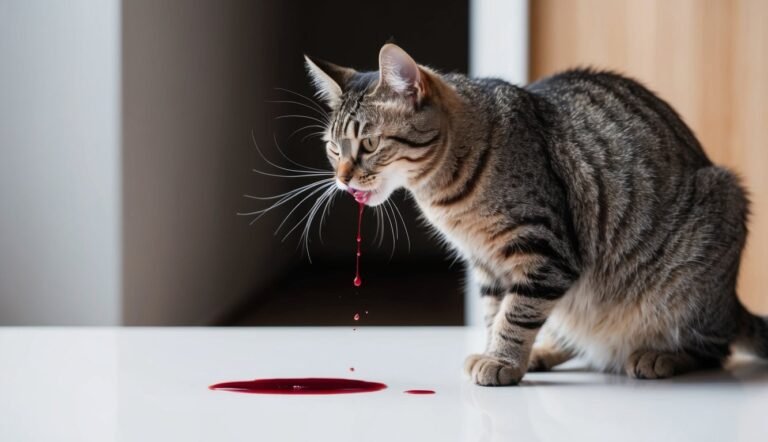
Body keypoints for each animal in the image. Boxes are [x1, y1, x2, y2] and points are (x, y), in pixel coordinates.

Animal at [302, 43, 760, 386]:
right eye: (333, 148)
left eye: (369, 143)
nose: (342, 179)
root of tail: (732, 303)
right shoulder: (487, 265)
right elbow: (496, 313)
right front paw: (499, 353)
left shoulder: (544, 251)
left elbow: (517, 313)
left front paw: (502, 361)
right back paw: (545, 350)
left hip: (718, 218)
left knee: (714, 348)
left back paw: (660, 356)